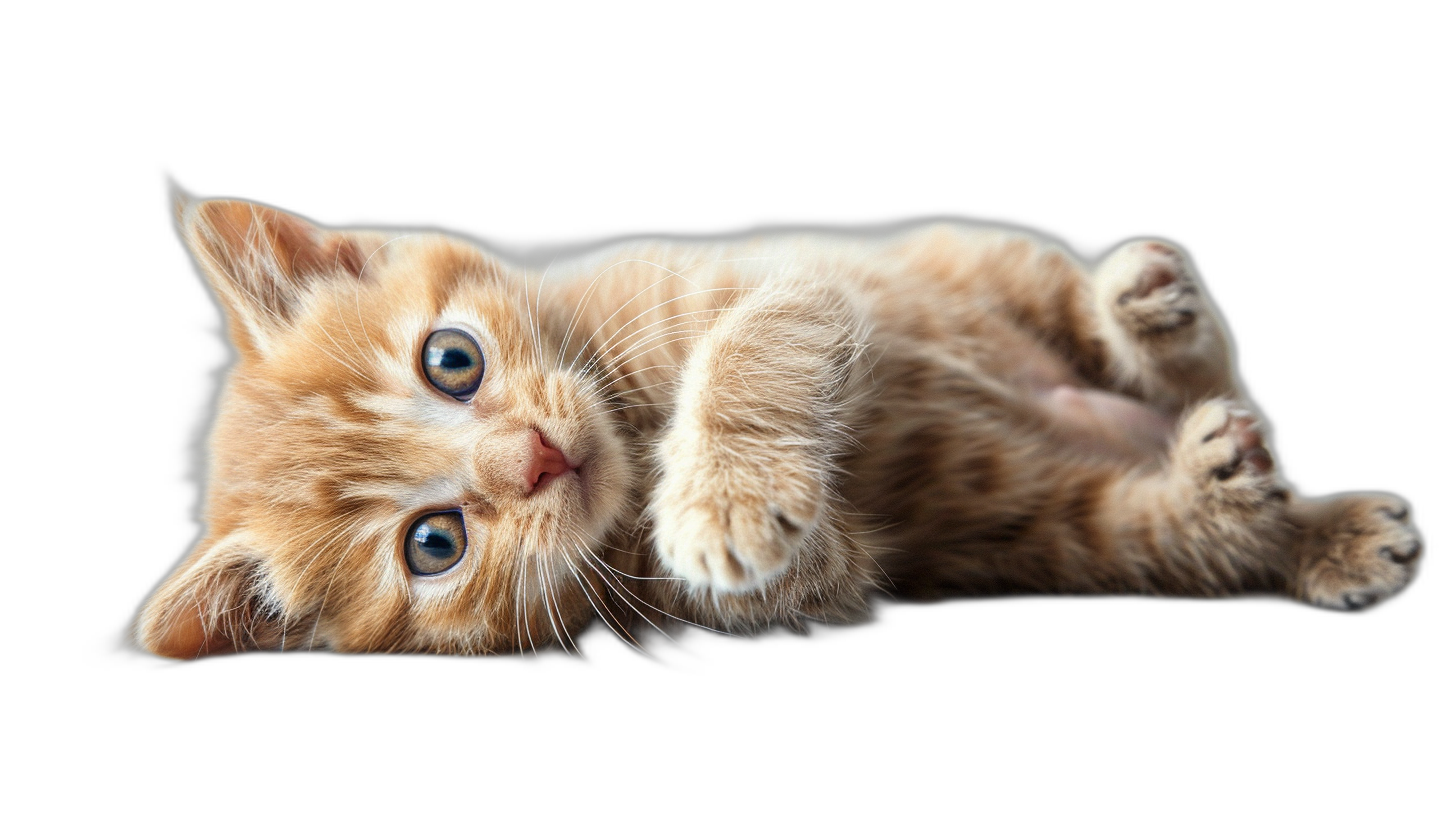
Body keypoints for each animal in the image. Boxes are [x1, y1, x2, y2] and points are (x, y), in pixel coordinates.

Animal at [125, 193, 1421, 658]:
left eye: (453, 362)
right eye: (432, 545)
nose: (531, 457)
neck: (634, 419)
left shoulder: (792, 276)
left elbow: (758, 342)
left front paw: (726, 491)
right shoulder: (839, 579)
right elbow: (815, 575)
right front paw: (728, 518)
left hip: (981, 258)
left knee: (1197, 368)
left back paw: (1157, 314)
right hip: (1056, 529)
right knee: (1178, 527)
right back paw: (1279, 511)